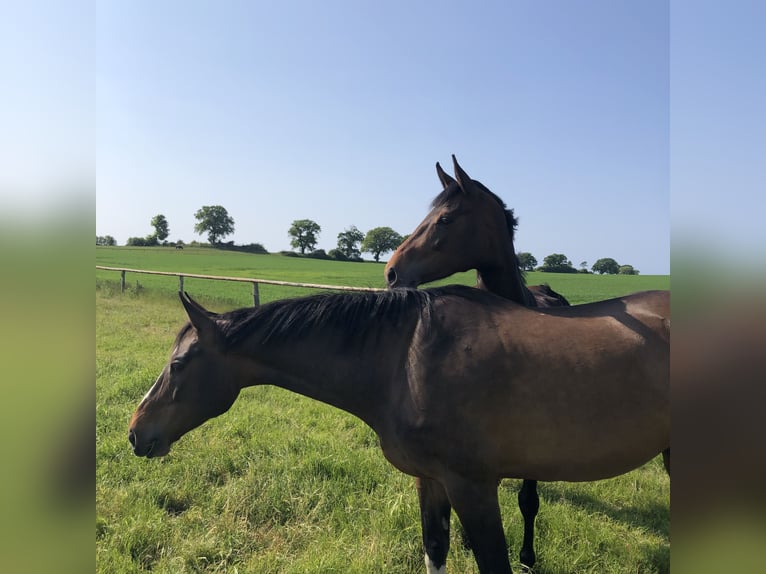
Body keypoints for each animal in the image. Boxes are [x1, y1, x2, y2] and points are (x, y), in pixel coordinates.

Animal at [129, 288, 668, 574]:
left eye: (178, 365)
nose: (135, 432)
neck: (406, 357)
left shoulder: (474, 487)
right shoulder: (431, 481)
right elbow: (435, 552)